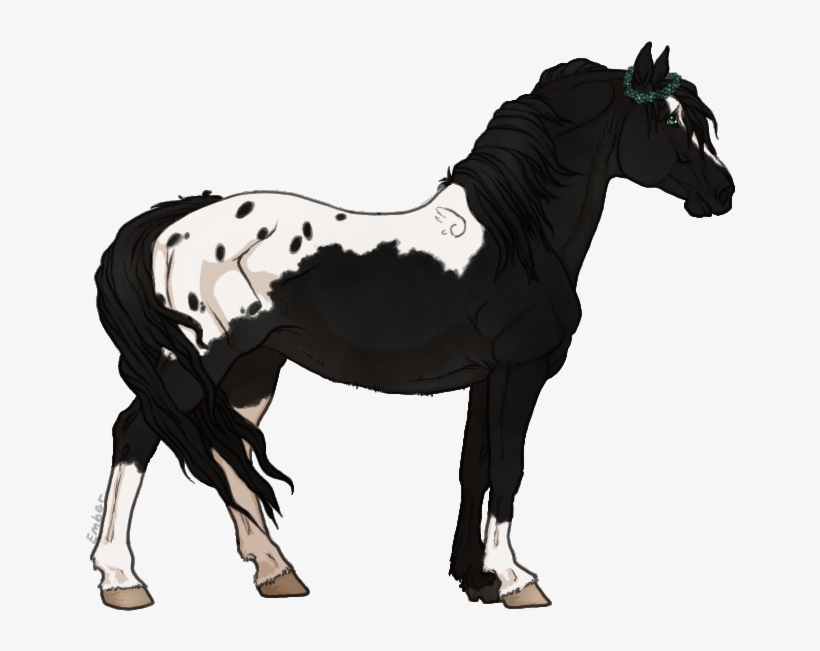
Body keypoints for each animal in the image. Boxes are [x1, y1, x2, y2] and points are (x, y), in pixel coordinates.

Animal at [91, 42, 734, 611]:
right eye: (670, 119)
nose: (722, 193)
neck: (517, 238)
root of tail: (176, 220)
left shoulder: (487, 377)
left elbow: (475, 467)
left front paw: (476, 580)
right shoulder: (519, 372)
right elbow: (508, 467)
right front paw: (516, 580)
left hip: (252, 372)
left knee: (227, 454)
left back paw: (275, 571)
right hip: (197, 365)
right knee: (136, 435)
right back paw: (122, 580)